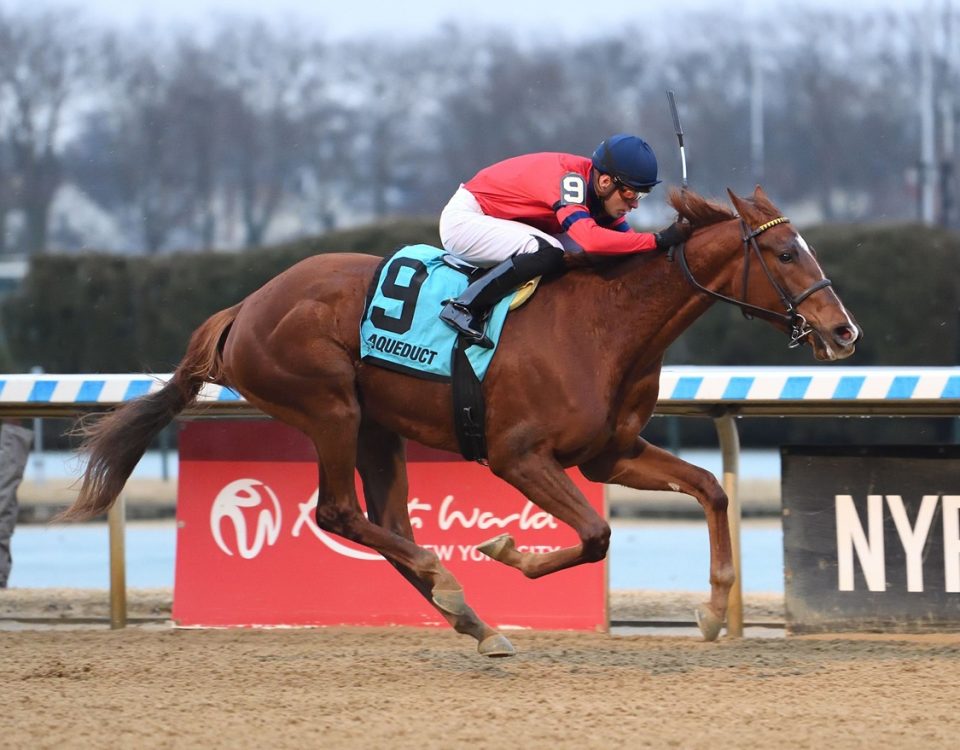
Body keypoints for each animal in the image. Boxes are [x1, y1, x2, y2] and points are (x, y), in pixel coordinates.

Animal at [62, 187, 856, 656]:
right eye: (785, 252)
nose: (843, 332)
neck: (606, 325)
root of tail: (244, 307)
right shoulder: (518, 455)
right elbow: (596, 534)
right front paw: (508, 552)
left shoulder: (611, 452)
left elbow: (711, 490)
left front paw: (715, 609)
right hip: (328, 406)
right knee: (339, 511)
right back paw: (452, 586)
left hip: (377, 427)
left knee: (384, 521)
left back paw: (468, 616)